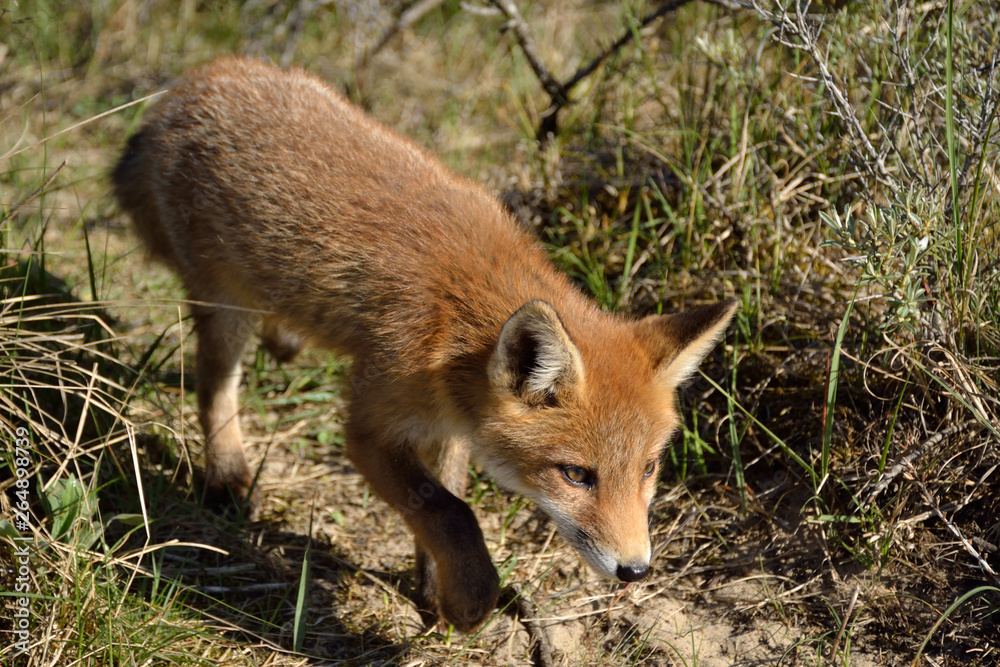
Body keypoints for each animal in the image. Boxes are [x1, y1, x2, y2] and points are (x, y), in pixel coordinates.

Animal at [112, 56, 737, 632]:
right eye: (577, 475)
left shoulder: (450, 425)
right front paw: (472, 597)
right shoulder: (370, 427)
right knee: (215, 385)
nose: (636, 570)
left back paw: (283, 338)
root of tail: (196, 79)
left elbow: (445, 497)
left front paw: (437, 588)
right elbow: (450, 510)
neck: (454, 328)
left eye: (649, 469)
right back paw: (225, 472)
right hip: (225, 306)